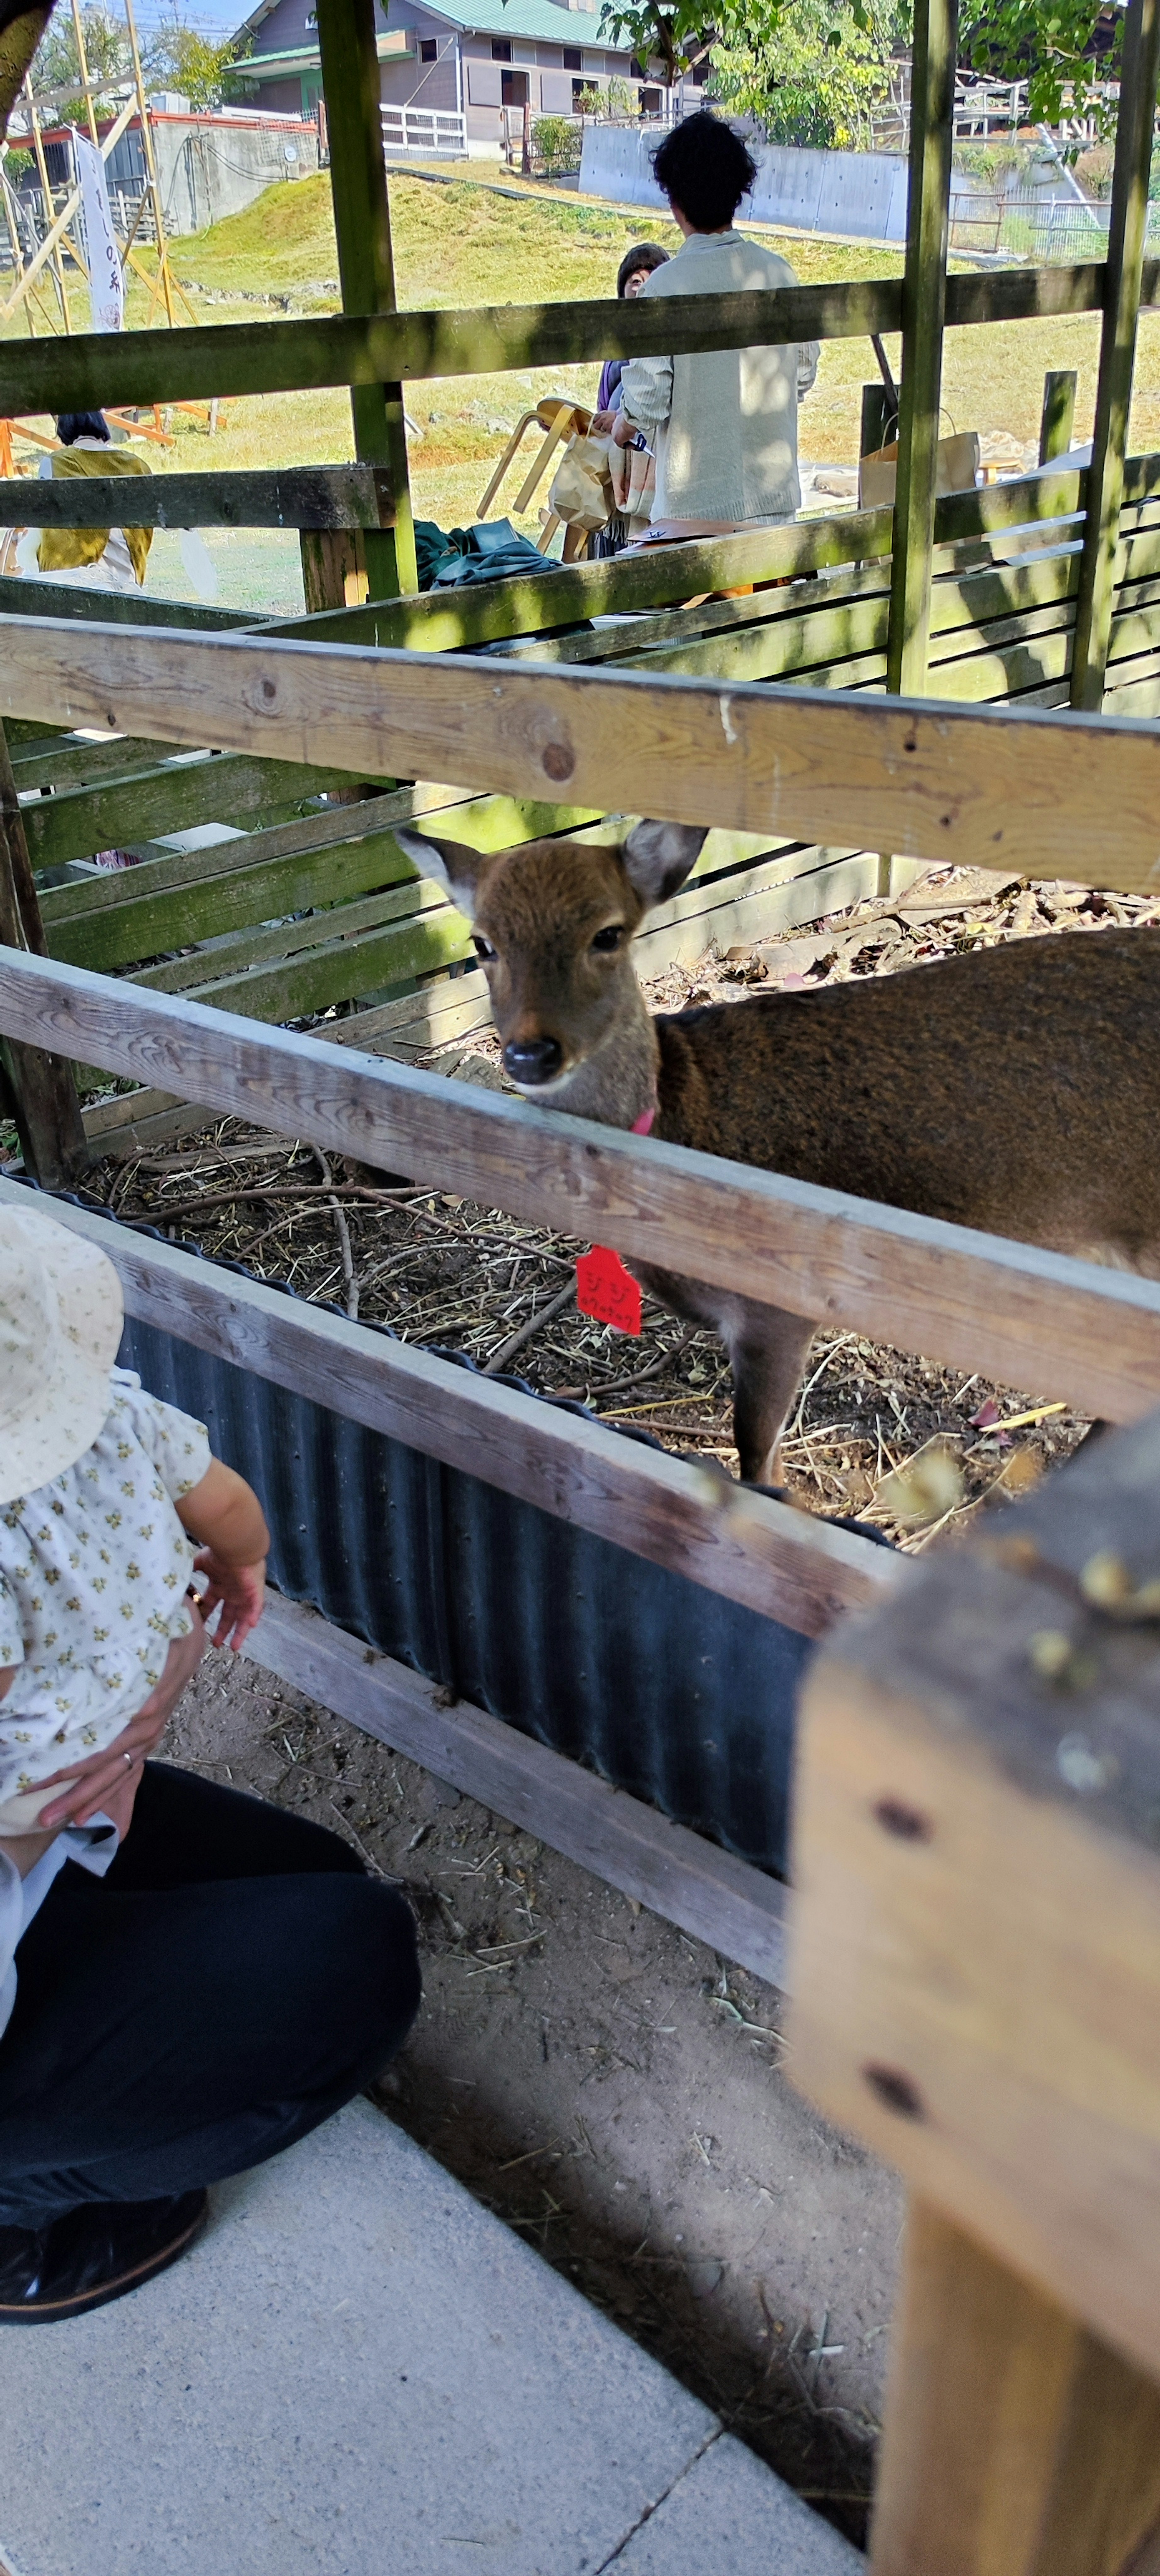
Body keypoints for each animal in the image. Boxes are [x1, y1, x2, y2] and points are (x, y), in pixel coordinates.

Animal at [397, 824, 1160, 1494]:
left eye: (607, 933)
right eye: (483, 942)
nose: (531, 1052)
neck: (684, 1108)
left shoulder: (776, 1307)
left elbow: (754, 1453)